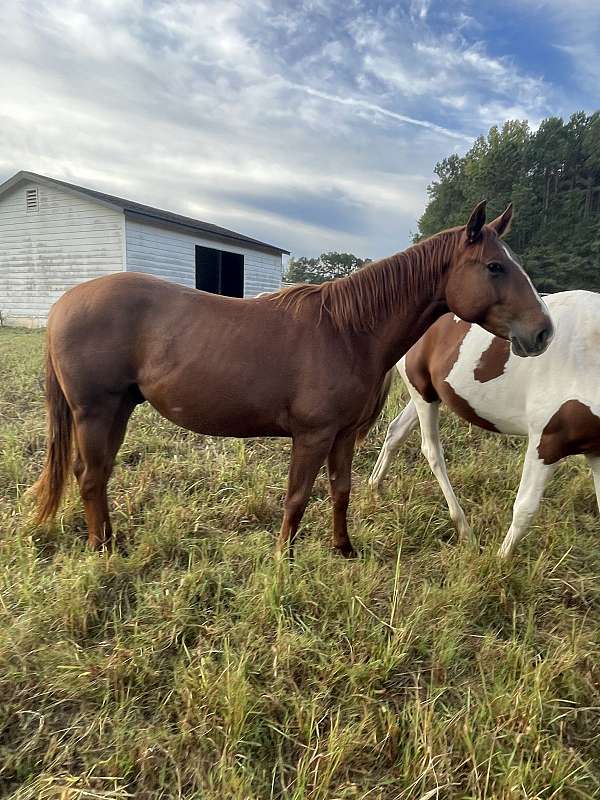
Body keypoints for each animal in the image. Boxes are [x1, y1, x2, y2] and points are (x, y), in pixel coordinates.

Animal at [33, 200, 552, 556]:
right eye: (494, 266)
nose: (543, 331)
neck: (348, 330)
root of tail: (63, 304)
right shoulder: (313, 435)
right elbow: (297, 498)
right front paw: (284, 559)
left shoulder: (342, 436)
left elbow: (340, 492)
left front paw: (344, 549)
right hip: (96, 411)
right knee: (90, 477)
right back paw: (103, 550)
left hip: (117, 410)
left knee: (96, 475)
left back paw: (109, 540)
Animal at [369, 290, 600, 558]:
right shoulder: (546, 444)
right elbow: (525, 509)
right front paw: (501, 560)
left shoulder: (596, 451)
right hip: (421, 394)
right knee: (432, 452)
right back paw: (464, 530)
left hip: (428, 394)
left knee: (396, 432)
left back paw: (375, 486)